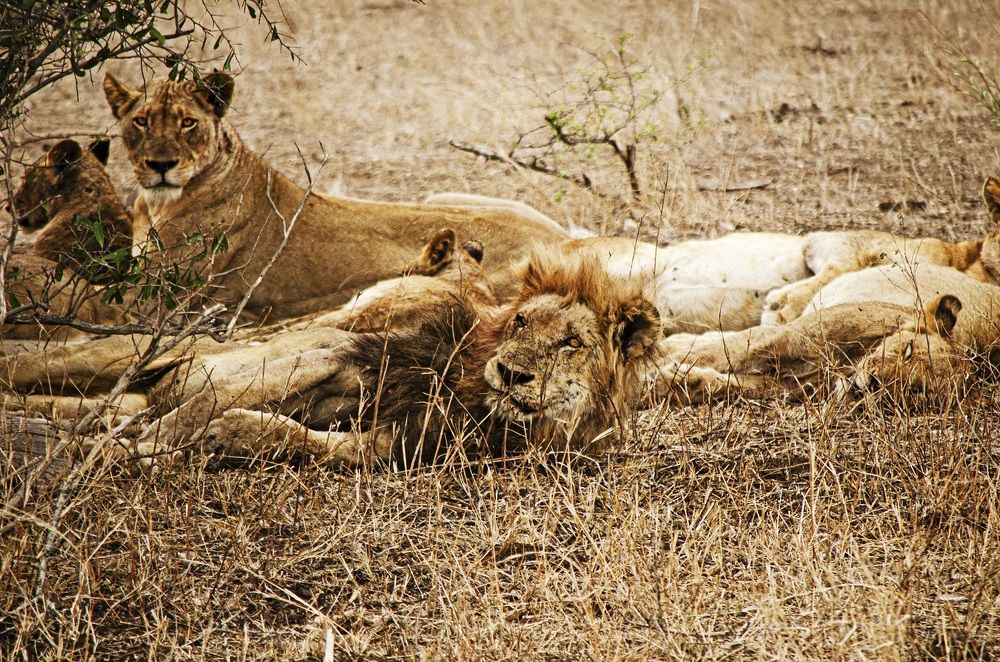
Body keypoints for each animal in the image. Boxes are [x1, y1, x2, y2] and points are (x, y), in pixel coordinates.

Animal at [101, 71, 568, 323]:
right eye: (141, 121)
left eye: (188, 123)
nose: (160, 164)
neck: (158, 203)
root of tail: (565, 242)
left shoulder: (152, 301)